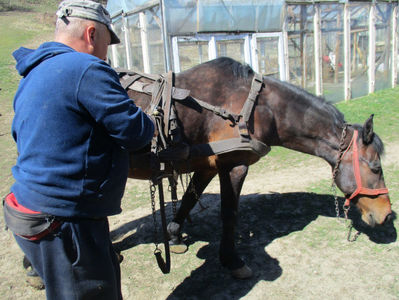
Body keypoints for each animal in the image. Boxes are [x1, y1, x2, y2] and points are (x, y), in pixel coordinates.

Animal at [126, 56, 394, 278]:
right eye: (375, 167)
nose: (387, 214)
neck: (257, 108)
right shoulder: (234, 165)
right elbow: (229, 213)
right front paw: (232, 260)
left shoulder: (209, 166)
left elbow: (190, 198)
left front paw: (173, 234)